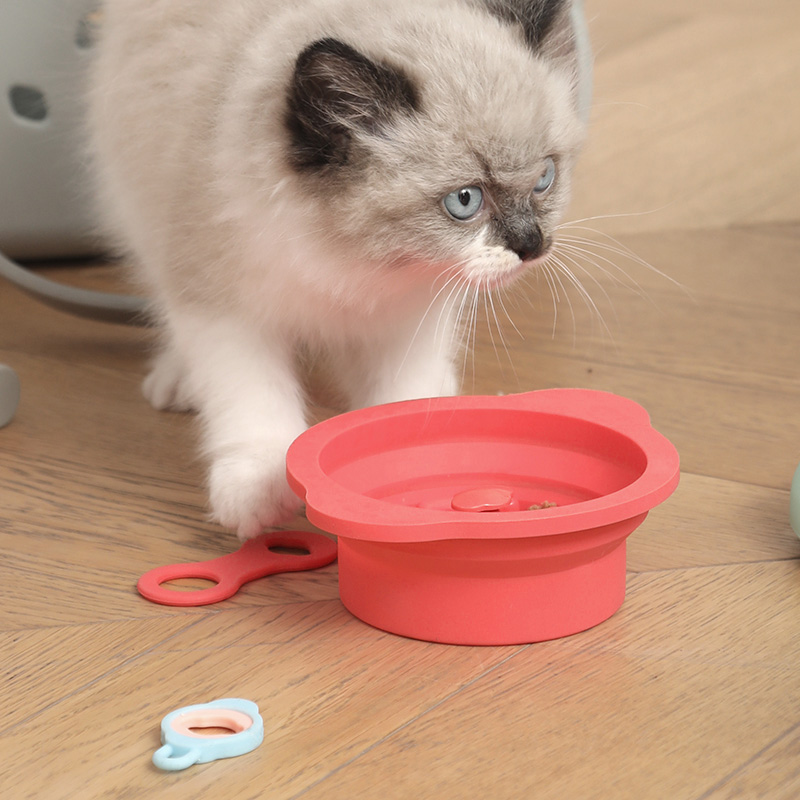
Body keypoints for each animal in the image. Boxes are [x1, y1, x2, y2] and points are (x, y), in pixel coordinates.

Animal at [87, 0, 592, 540]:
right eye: (465, 201)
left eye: (545, 178)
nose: (531, 245)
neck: (356, 265)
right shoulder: (223, 306)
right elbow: (250, 396)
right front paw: (260, 495)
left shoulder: (412, 314)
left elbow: (398, 402)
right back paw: (176, 382)